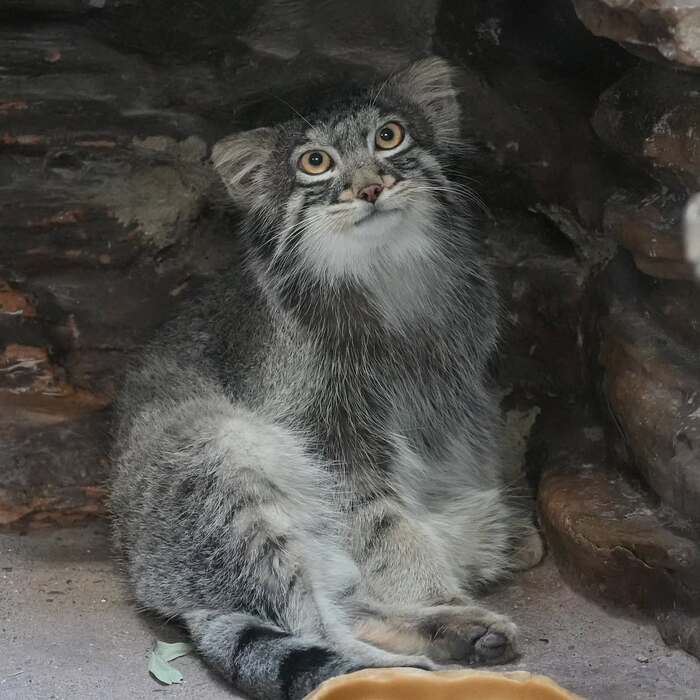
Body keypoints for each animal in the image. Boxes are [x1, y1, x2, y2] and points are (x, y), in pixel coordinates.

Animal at [110, 57, 543, 700]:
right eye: (315, 162)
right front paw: (436, 582)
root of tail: (158, 582)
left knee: (350, 603)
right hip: (223, 460)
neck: (388, 283)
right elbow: (388, 525)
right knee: (320, 624)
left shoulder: (458, 400)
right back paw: (418, 664)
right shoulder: (330, 437)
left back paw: (459, 630)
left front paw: (498, 532)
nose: (369, 187)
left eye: (389, 136)